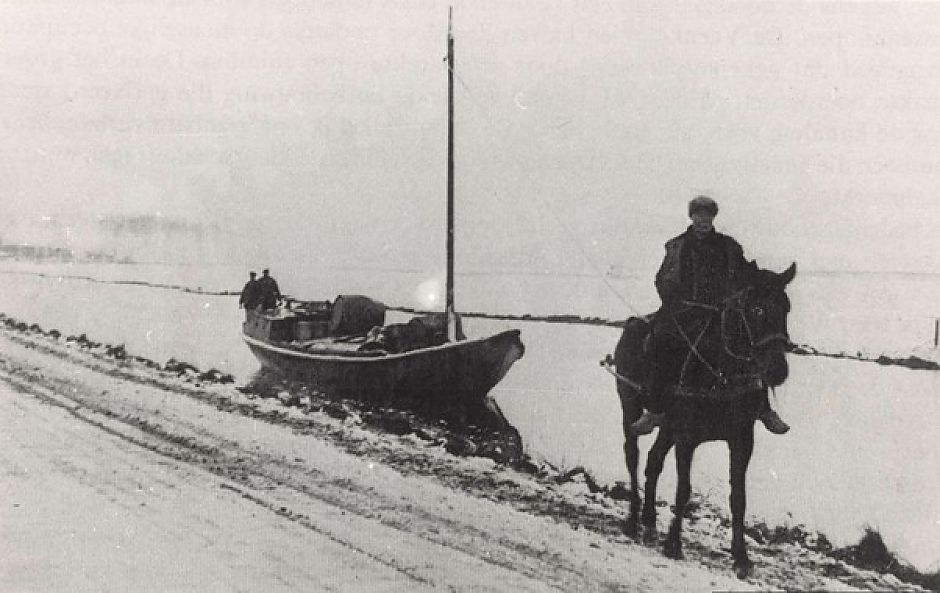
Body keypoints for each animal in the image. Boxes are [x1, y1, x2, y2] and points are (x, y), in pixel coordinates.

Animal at [608, 262, 792, 576]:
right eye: (757, 309)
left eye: (787, 308)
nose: (778, 370)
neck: (720, 374)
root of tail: (633, 323)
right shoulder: (687, 437)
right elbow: (683, 490)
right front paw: (673, 545)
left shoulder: (742, 440)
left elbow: (738, 498)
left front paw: (741, 558)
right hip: (630, 407)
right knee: (632, 455)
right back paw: (633, 521)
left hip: (667, 425)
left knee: (653, 462)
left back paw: (649, 522)